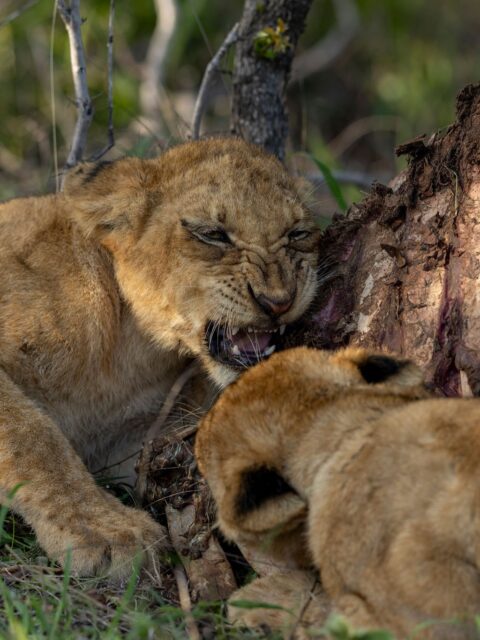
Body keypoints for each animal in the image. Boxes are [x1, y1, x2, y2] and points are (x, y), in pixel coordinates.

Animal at [0, 137, 320, 579]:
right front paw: (107, 533)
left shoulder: (136, 439)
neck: (128, 349)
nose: (279, 302)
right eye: (212, 234)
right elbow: (33, 437)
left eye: (298, 233)